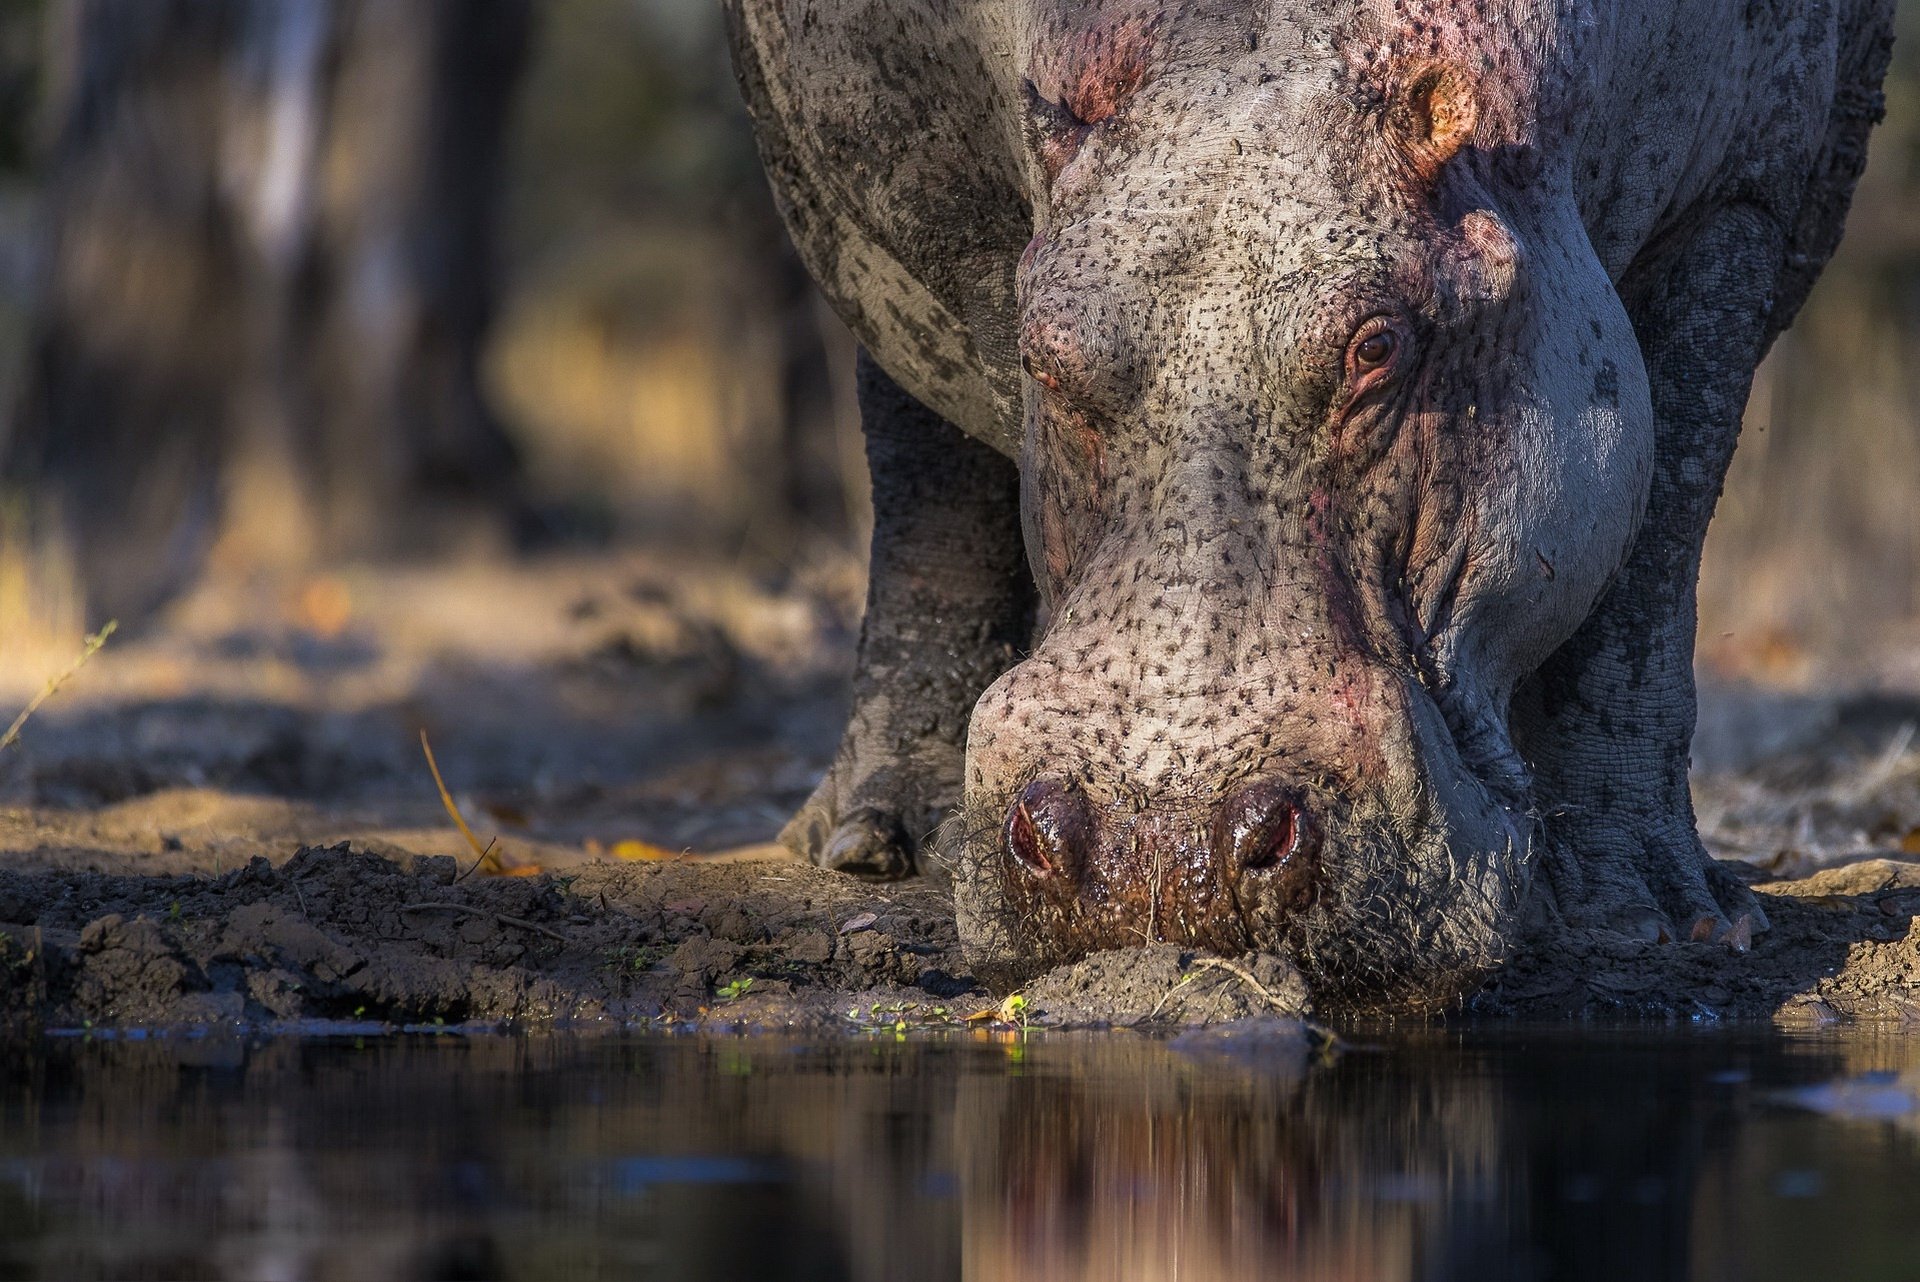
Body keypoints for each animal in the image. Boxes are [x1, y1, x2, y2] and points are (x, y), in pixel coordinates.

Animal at [724, 0, 1895, 1006]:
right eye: (1040, 353)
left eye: (1379, 345)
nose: (1156, 850)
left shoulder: (1740, 195)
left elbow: (1647, 582)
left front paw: (1653, 919)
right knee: (923, 481)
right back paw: (876, 844)